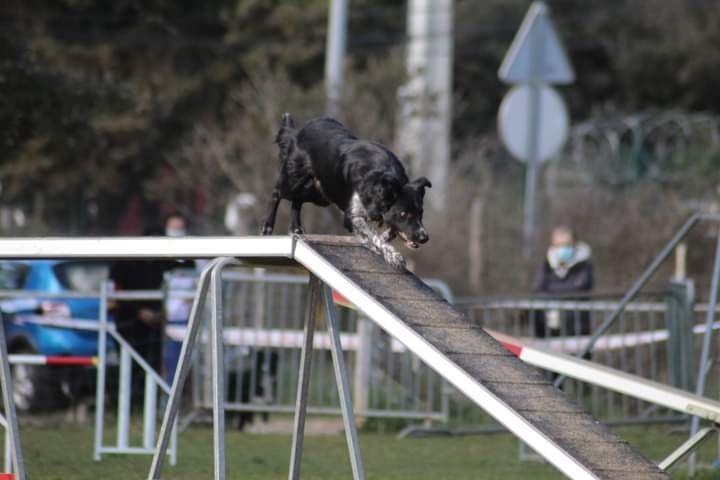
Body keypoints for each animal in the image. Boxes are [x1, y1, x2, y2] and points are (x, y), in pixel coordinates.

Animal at [260, 114, 430, 268]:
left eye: (421, 213)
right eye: (403, 213)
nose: (424, 237)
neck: (378, 181)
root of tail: (298, 132)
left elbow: (385, 233)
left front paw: (383, 245)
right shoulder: (352, 216)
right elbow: (372, 235)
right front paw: (393, 255)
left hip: (320, 193)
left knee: (297, 200)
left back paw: (296, 228)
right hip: (294, 180)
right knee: (277, 193)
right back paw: (267, 227)